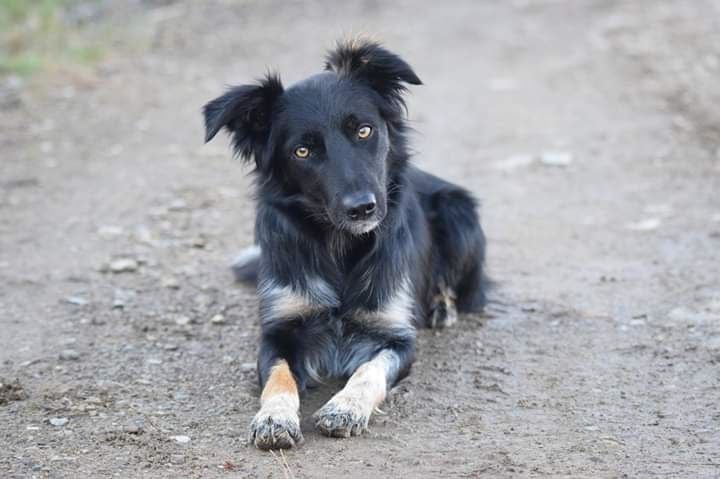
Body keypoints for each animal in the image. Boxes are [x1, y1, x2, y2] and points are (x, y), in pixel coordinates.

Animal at [201, 39, 490, 452]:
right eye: (302, 152)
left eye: (364, 130)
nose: (362, 207)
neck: (340, 245)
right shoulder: (277, 332)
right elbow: (278, 377)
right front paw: (274, 417)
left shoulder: (397, 337)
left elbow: (370, 371)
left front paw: (345, 408)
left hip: (459, 213)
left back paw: (441, 307)